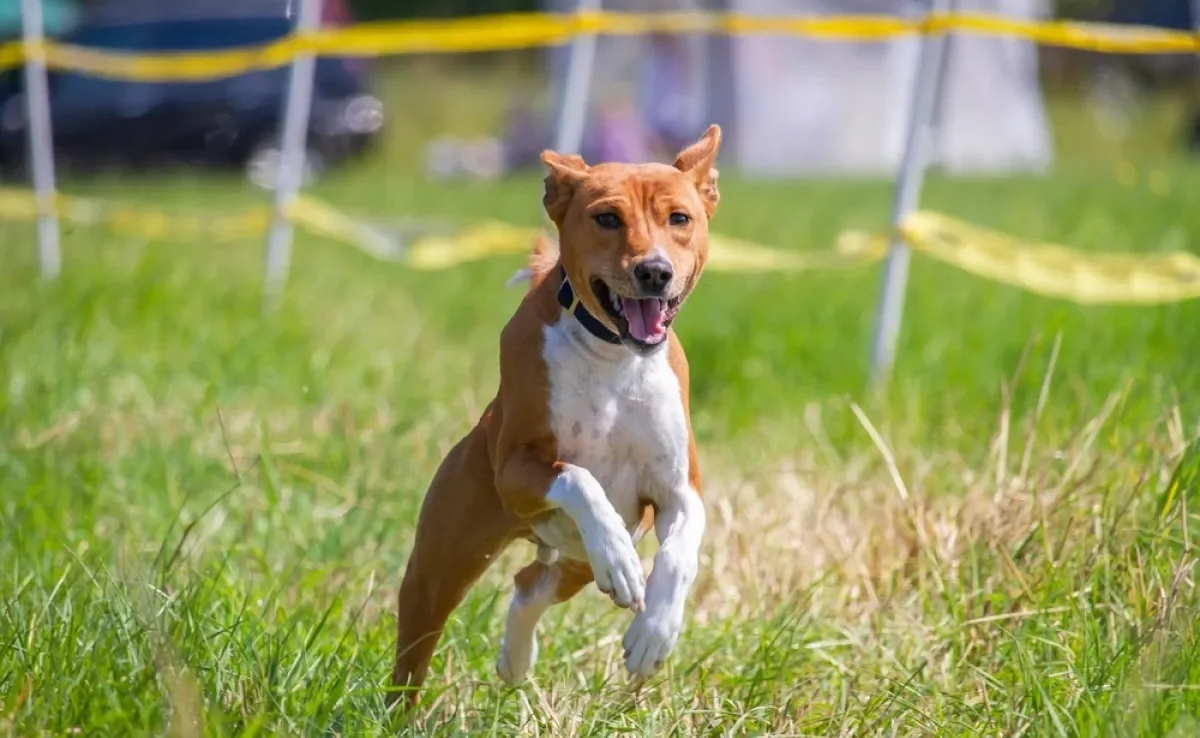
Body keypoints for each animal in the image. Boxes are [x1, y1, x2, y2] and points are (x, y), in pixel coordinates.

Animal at [388, 124, 715, 705]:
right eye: (607, 218)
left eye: (679, 218)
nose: (654, 271)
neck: (614, 356)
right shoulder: (517, 470)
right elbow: (580, 477)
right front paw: (619, 555)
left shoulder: (679, 489)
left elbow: (680, 553)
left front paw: (653, 633)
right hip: (445, 560)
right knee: (417, 641)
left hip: (574, 564)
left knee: (528, 585)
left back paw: (516, 660)